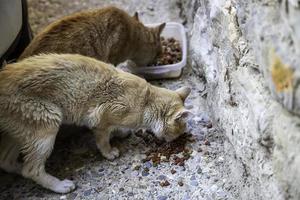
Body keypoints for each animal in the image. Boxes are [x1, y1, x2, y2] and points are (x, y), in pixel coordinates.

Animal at [0, 53, 191, 194]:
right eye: (178, 133)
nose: (175, 141)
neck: (147, 101)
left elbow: (116, 129)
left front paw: (121, 132)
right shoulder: (101, 118)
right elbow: (103, 140)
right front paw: (109, 152)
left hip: (22, 131)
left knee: (7, 161)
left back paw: (19, 169)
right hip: (48, 122)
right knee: (31, 169)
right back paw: (60, 186)